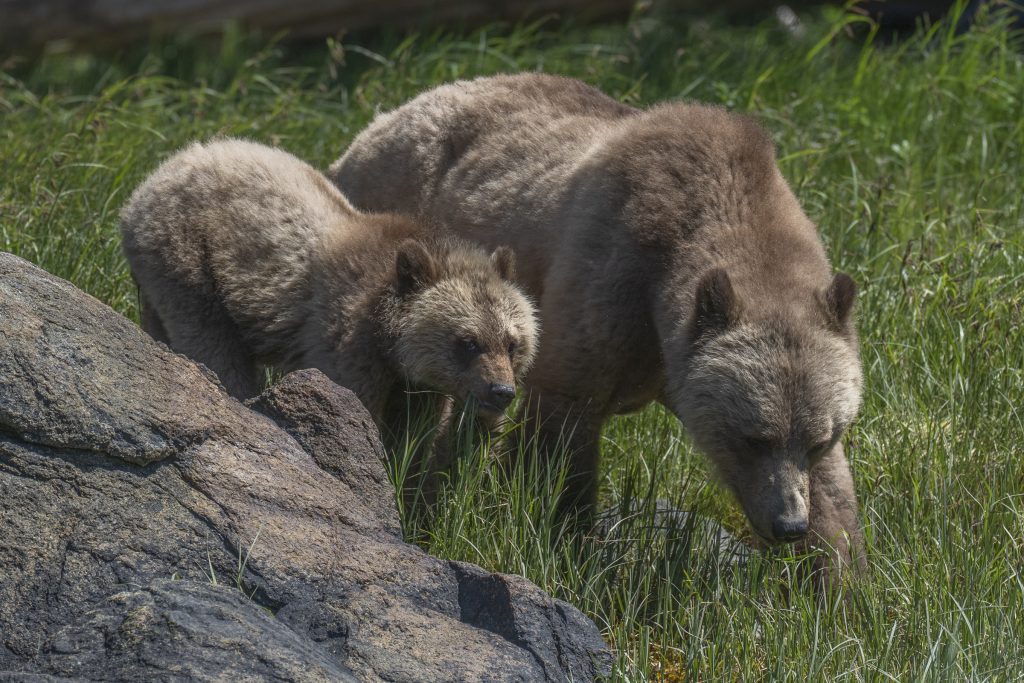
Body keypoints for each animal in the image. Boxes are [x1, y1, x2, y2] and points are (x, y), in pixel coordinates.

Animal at [120, 138, 540, 482]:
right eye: (468, 342)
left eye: (512, 343)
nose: (501, 390)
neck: (390, 339)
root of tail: (160, 172)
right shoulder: (349, 340)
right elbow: (355, 406)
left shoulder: (422, 386)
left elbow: (418, 441)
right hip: (188, 258)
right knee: (214, 346)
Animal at [329, 73, 866, 578]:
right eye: (753, 437)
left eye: (819, 439)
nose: (788, 524)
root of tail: (384, 118)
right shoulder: (612, 278)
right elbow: (560, 435)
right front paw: (566, 542)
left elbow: (836, 495)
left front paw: (840, 580)